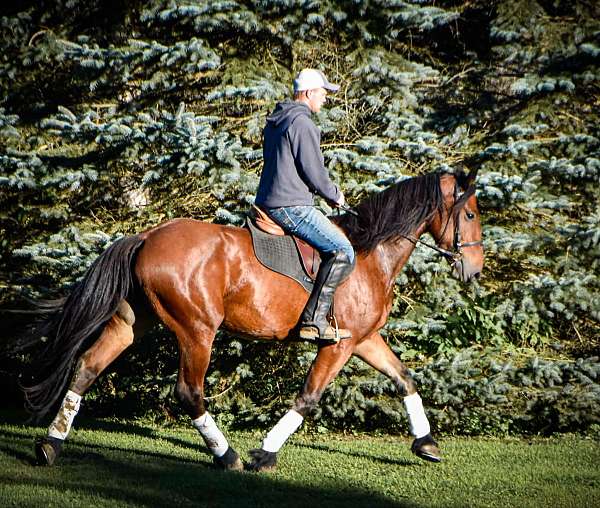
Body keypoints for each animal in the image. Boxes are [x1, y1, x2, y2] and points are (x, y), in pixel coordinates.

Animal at [15, 170, 482, 472]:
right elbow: (308, 398)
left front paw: (426, 443)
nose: (475, 269)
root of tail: (147, 236)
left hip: (132, 323)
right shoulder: (339, 345)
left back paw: (50, 445)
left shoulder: (364, 340)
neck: (370, 255)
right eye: (471, 215)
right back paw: (228, 456)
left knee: (87, 367)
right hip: (197, 331)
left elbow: (404, 378)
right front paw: (265, 453)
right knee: (189, 392)